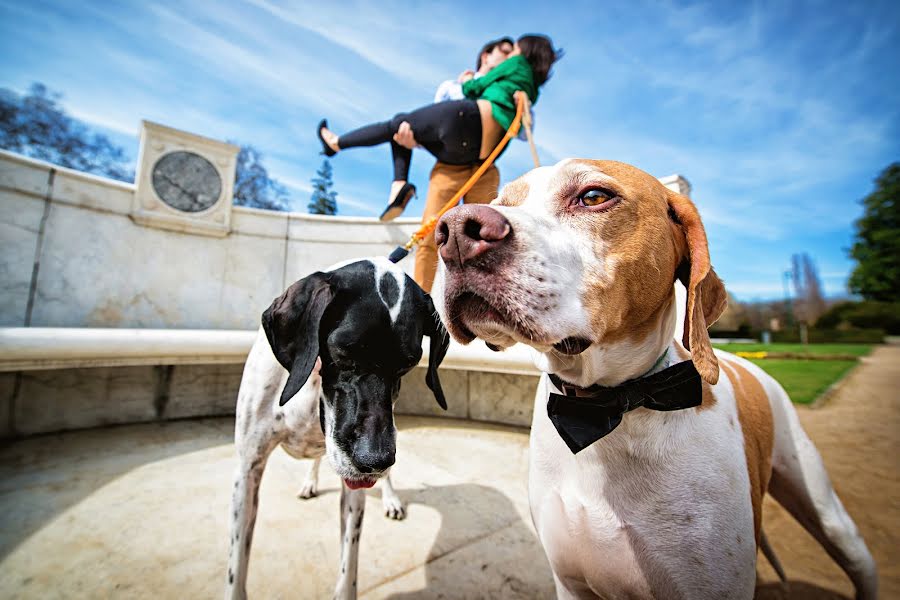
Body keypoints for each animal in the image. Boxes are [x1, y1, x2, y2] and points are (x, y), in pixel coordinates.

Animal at [227, 258, 448, 600]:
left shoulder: (356, 484)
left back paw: (390, 498)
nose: (374, 460)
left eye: (408, 364)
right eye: (344, 352)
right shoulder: (247, 472)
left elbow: (349, 564)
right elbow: (237, 566)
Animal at [432, 159, 876, 600]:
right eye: (502, 204)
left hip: (830, 517)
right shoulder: (570, 583)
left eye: (594, 196)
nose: (453, 230)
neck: (607, 407)